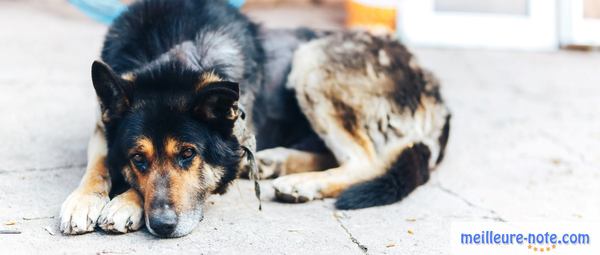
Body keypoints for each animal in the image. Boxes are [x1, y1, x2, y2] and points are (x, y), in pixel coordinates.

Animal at [59, 0, 450, 239]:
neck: (172, 51)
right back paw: (273, 163)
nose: (164, 226)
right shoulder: (102, 125)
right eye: (138, 159)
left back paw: (303, 183)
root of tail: (437, 93)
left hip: (311, 60)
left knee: (365, 160)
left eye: (188, 154)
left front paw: (124, 202)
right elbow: (98, 164)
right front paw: (83, 200)